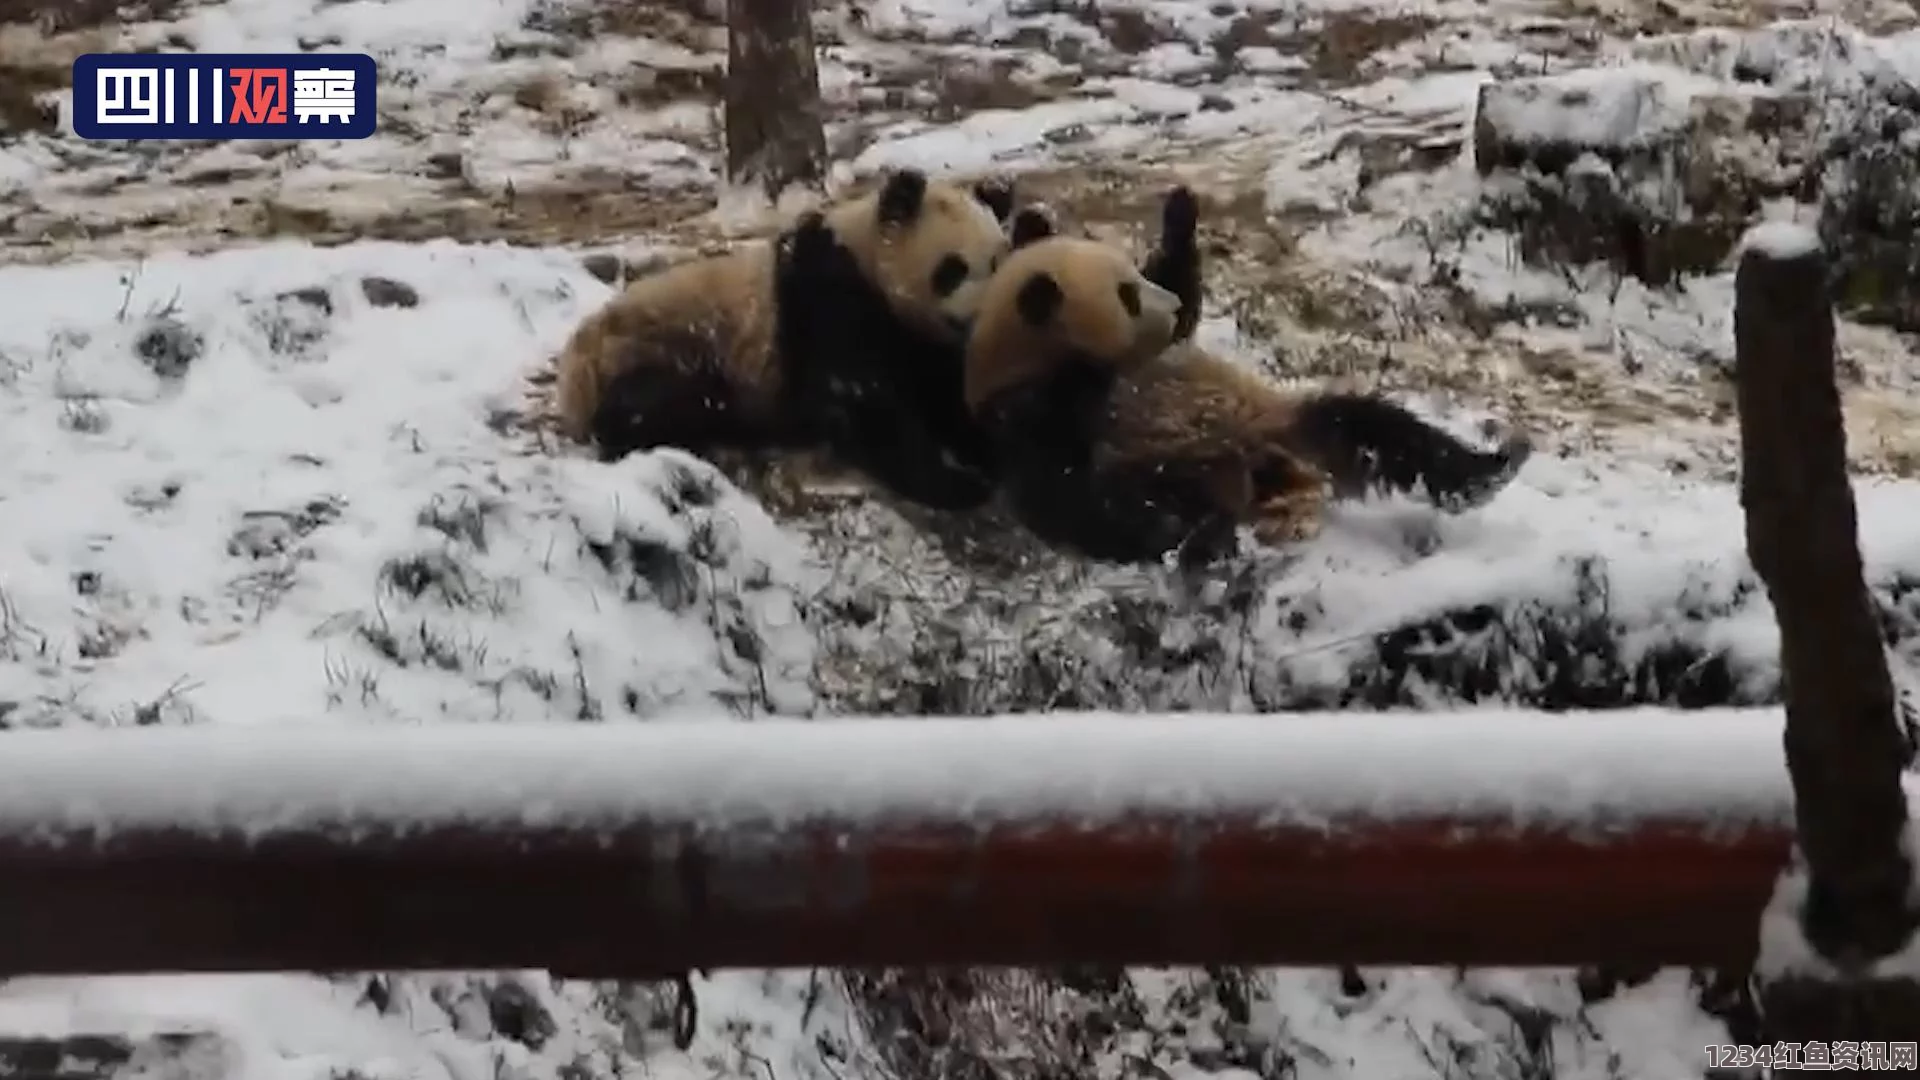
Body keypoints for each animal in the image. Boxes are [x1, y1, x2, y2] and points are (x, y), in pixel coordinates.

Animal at [556, 167, 1029, 507]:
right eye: (952, 269)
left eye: (997, 262)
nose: (981, 316)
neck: (865, 250)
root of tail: (572, 374)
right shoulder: (829, 294)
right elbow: (861, 397)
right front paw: (957, 484)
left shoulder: (918, 340)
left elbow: (943, 390)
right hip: (659, 345)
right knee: (655, 403)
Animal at [967, 191, 1536, 564]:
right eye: (1124, 295)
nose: (1163, 306)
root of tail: (1261, 463)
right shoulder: (1035, 410)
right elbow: (1067, 481)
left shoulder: (1159, 349)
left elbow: (1182, 303)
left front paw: (1180, 216)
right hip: (1179, 466)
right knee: (1144, 498)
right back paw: (1202, 534)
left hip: (1289, 422)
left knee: (1378, 429)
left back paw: (1495, 465)